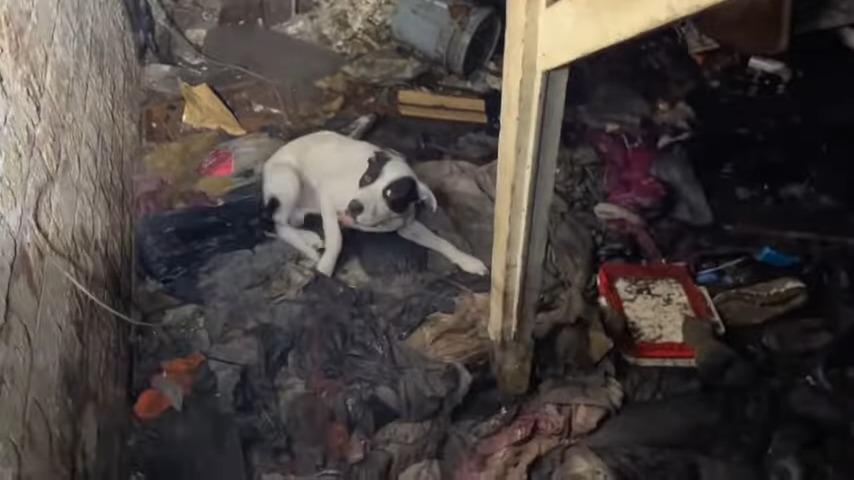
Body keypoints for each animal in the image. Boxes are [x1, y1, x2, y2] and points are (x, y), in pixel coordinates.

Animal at [260, 130, 492, 278]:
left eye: (391, 196)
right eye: (367, 179)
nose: (353, 206)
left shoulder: (408, 226)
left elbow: (441, 241)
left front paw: (468, 261)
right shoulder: (328, 197)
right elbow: (336, 239)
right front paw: (325, 267)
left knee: (291, 221)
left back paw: (308, 237)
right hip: (289, 180)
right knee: (278, 223)